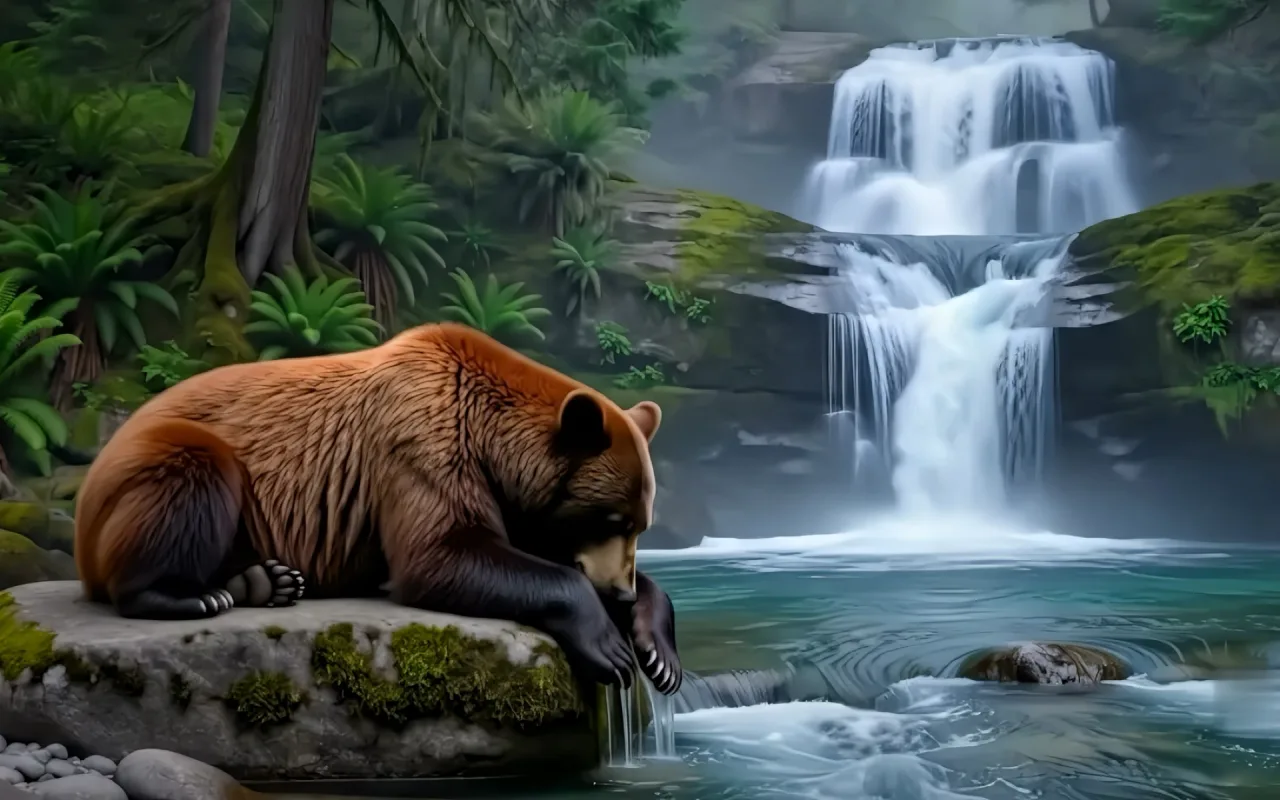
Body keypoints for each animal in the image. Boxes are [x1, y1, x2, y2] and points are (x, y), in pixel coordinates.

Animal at [74, 322, 682, 694]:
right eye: (612, 517)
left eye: (640, 524)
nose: (619, 592)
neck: (490, 437)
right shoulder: (422, 441)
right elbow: (441, 553)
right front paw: (609, 648)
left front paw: (658, 652)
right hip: (160, 463)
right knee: (191, 476)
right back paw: (189, 595)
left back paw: (265, 581)